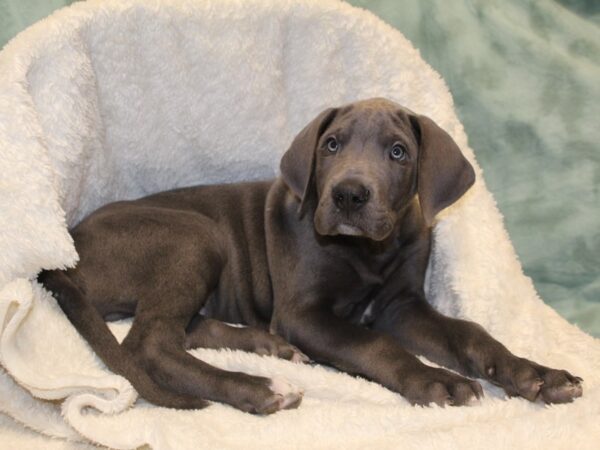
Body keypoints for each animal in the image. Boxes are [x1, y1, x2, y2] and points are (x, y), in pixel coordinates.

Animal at [39, 98, 584, 414]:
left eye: (399, 152)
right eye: (332, 145)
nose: (347, 195)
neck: (368, 251)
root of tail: (68, 248)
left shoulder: (402, 306)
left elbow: (471, 334)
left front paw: (536, 375)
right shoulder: (304, 314)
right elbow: (375, 345)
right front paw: (435, 380)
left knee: (182, 330)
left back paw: (268, 347)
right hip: (196, 234)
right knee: (149, 343)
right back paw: (262, 388)